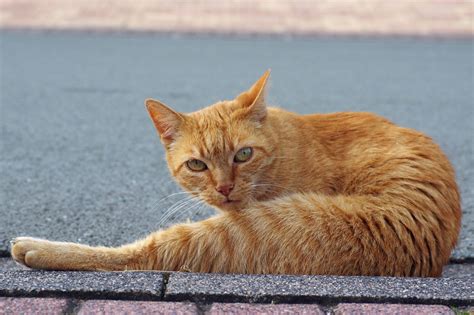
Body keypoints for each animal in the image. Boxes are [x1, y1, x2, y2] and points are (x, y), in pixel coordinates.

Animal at [10, 71, 462, 276]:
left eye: (243, 155)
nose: (225, 188)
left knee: (139, 255)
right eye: (197, 165)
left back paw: (35, 248)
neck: (283, 150)